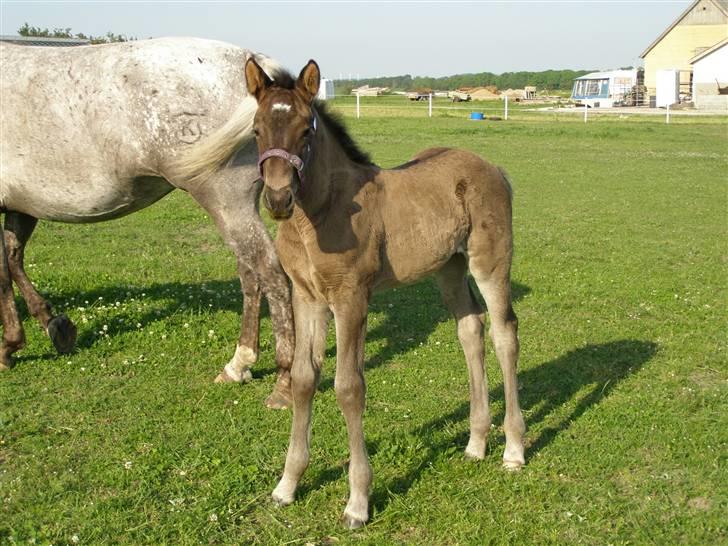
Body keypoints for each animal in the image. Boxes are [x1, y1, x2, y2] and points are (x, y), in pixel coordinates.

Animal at [2, 37, 294, 404]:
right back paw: (238, 365)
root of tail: (255, 63)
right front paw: (51, 327)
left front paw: (16, 342)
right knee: (251, 276)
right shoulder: (20, 205)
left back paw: (284, 381)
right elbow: (12, 259)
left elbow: (5, 271)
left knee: (271, 274)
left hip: (228, 201)